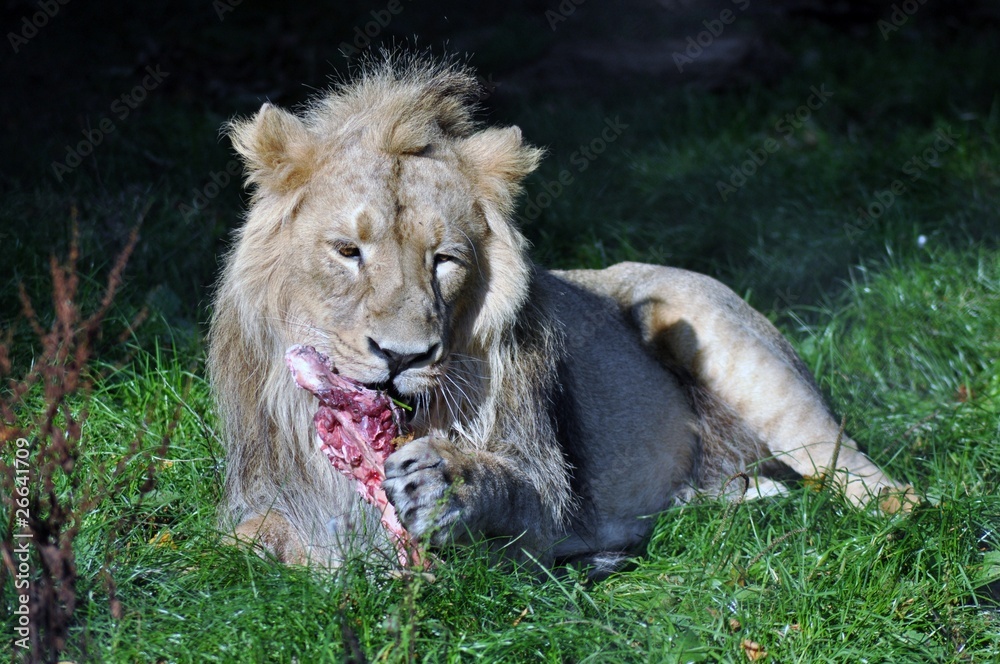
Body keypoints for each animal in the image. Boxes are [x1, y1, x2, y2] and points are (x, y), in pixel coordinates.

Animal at [208, 57, 911, 571]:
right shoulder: (264, 496)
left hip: (724, 337)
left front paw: (447, 482)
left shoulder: (555, 508)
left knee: (860, 472)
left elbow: (513, 492)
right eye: (348, 251)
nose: (403, 356)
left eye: (445, 260)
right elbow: (241, 543)